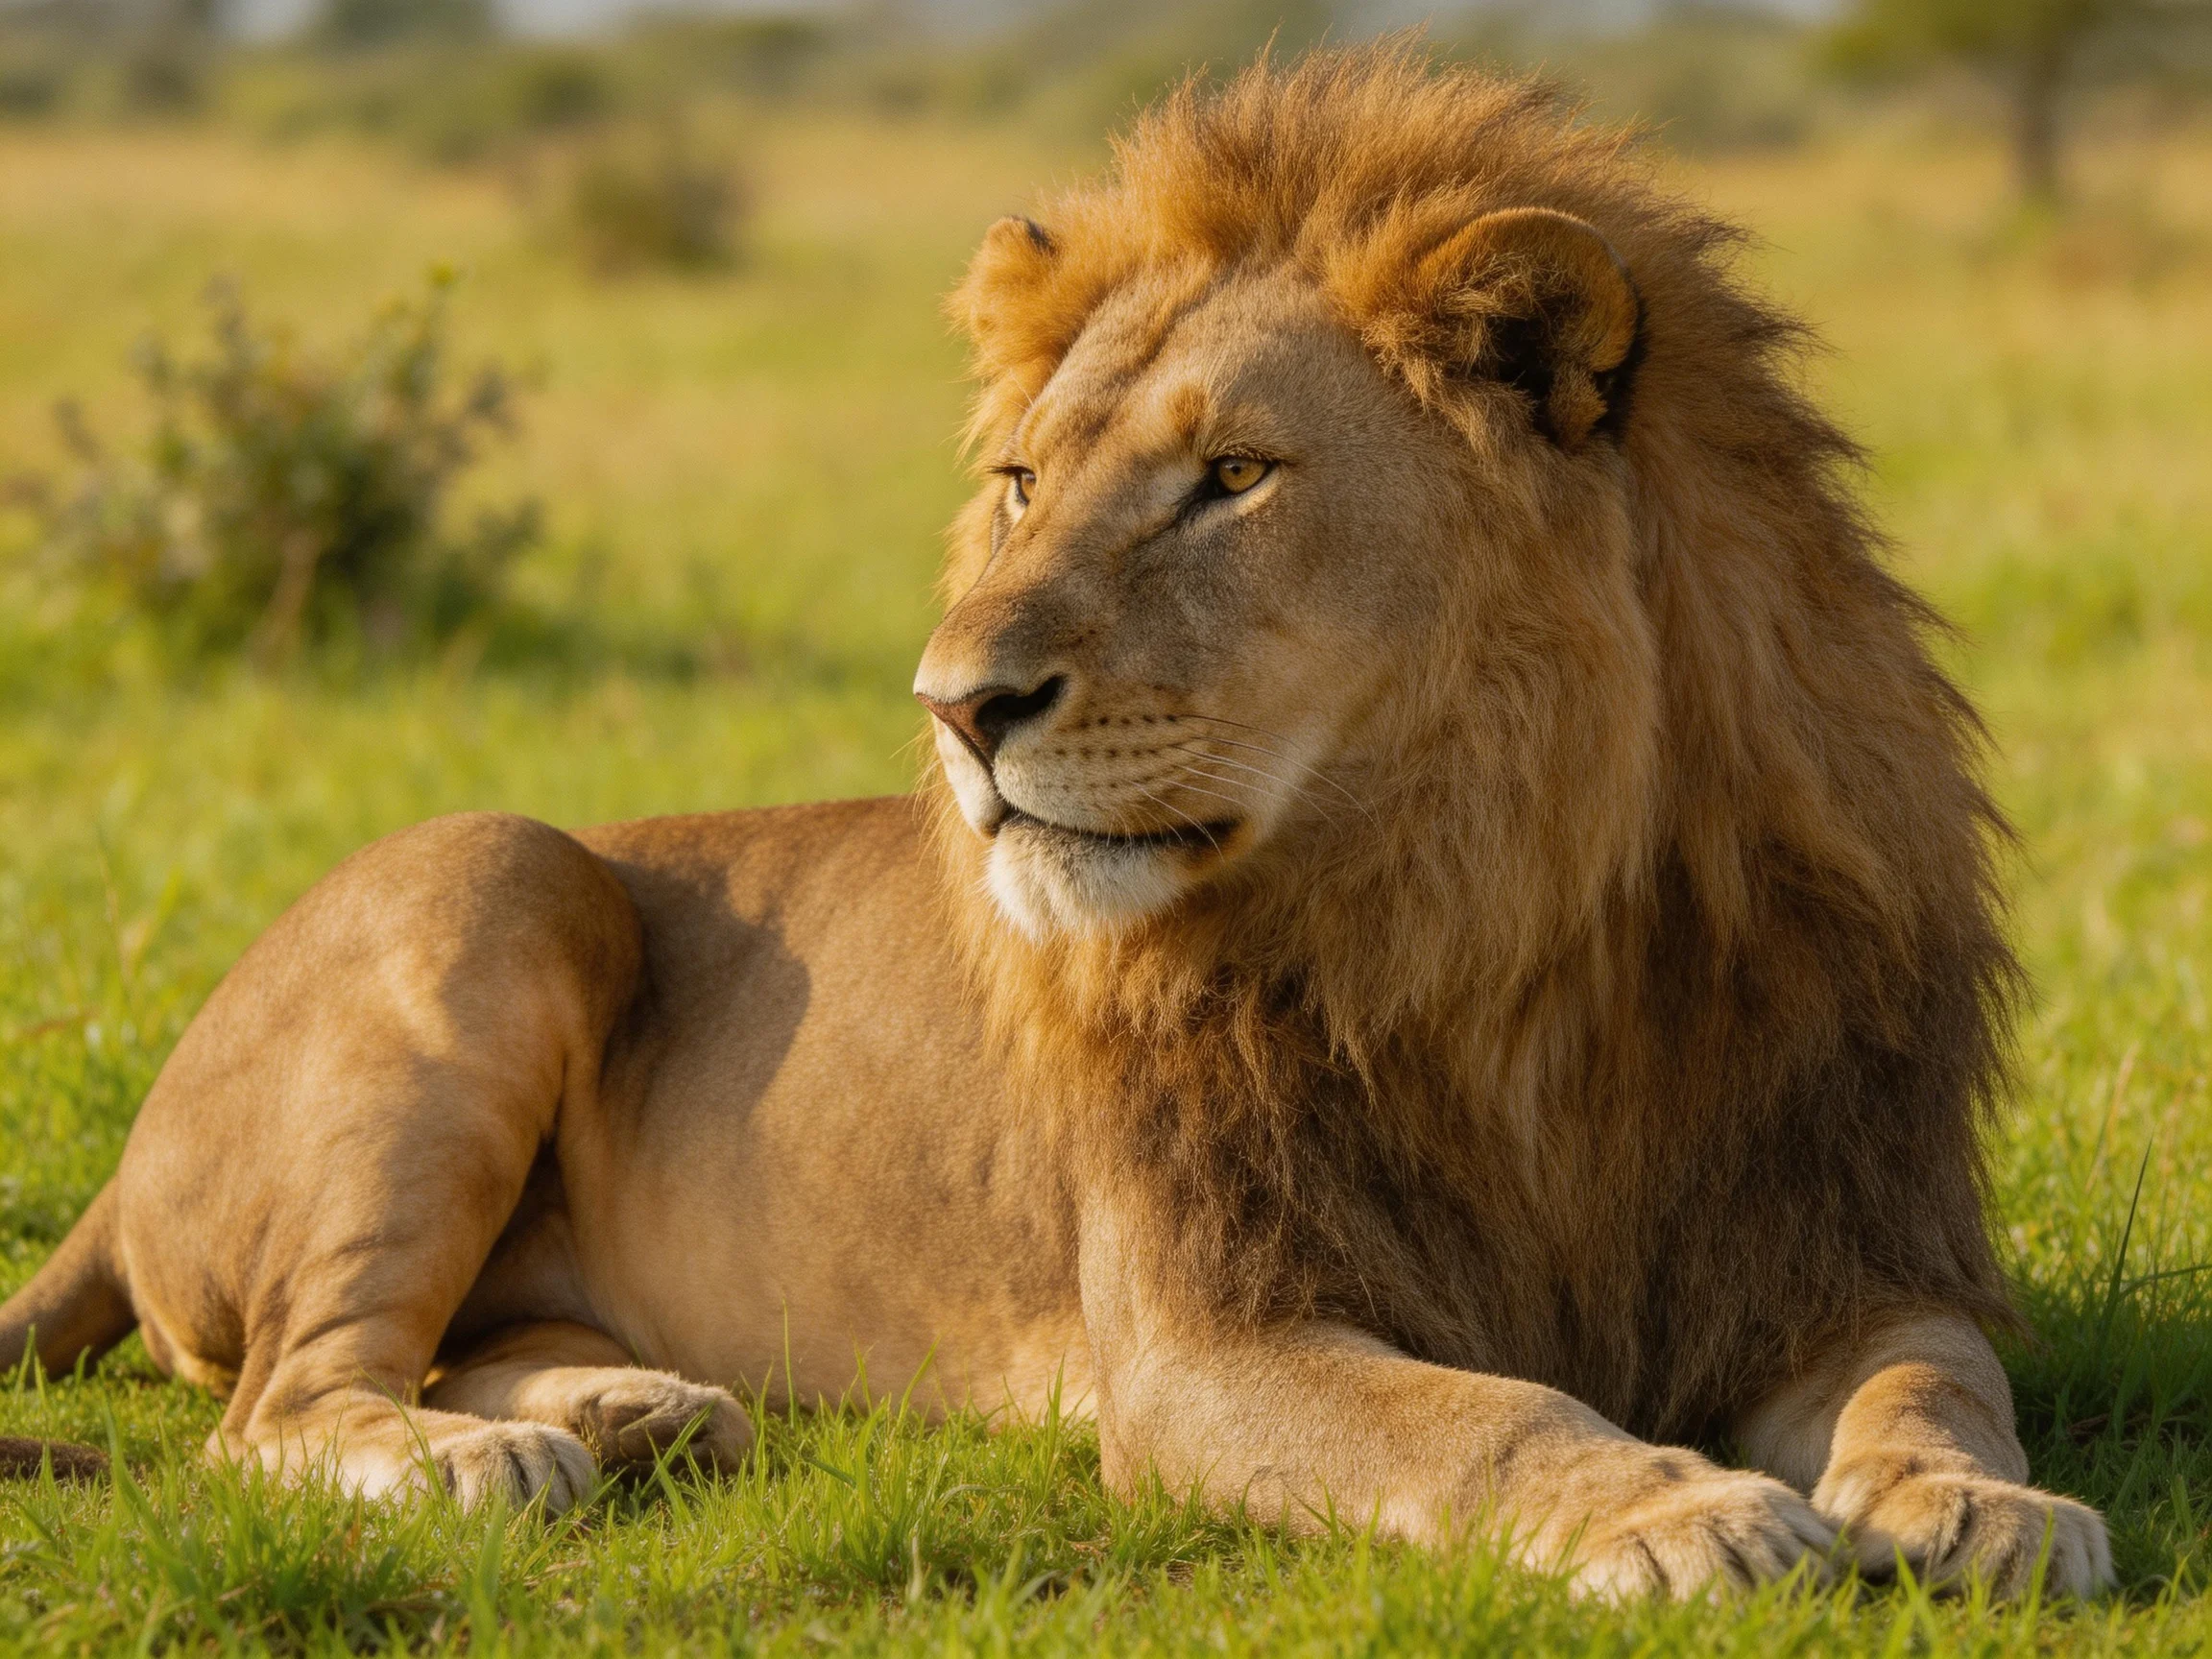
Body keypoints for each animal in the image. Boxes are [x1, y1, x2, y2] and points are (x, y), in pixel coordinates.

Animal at [1, 47, 2110, 1600]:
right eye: (1020, 483)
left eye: (1232, 478)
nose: (957, 706)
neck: (1494, 922)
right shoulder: (1201, 1343)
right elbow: (1489, 1415)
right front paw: (1680, 1508)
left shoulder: (1839, 1243)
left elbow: (1936, 1382)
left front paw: (1982, 1509)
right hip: (496, 871)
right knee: (280, 1403)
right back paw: (490, 1460)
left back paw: (630, 1412)